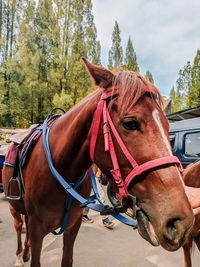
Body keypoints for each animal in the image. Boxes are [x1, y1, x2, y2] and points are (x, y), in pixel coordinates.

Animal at [2, 59, 194, 267]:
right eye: (130, 123)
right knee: (19, 225)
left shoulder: (72, 227)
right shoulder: (37, 229)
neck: (63, 174)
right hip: (14, 208)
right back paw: (20, 255)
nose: (180, 221)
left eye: (167, 127)